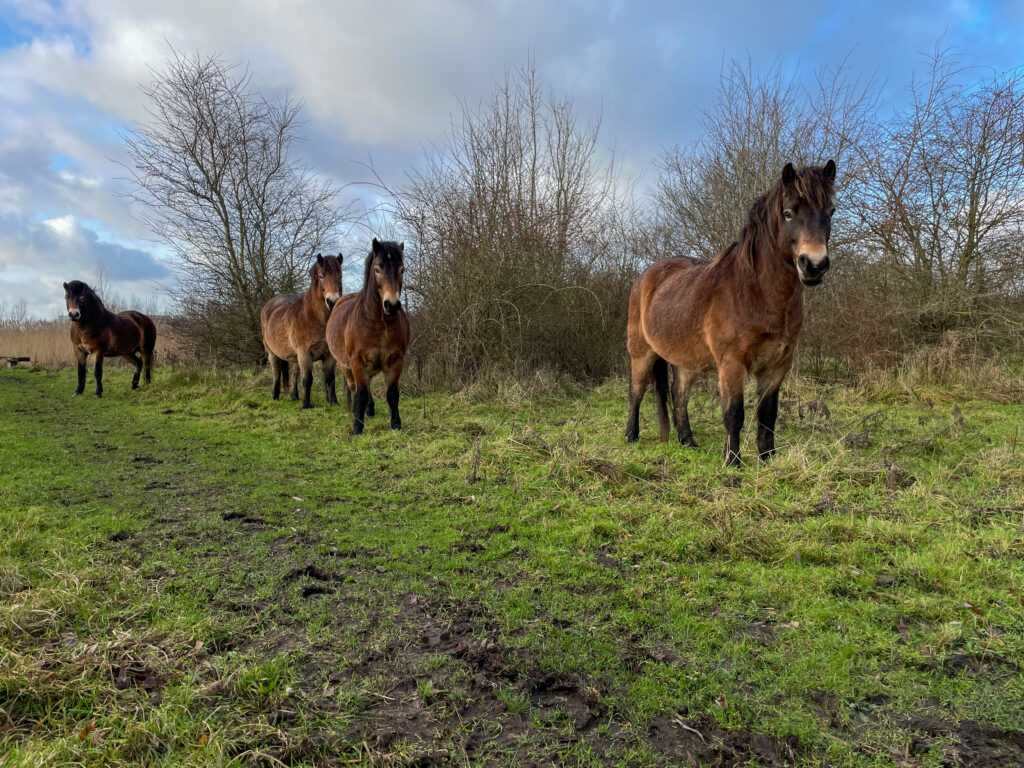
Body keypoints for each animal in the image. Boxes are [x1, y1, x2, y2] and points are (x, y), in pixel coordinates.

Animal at [260, 252, 344, 409]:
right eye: (321, 276)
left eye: (340, 276)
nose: (333, 301)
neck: (313, 317)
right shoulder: (304, 353)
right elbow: (307, 379)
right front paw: (306, 405)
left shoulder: (329, 356)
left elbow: (330, 379)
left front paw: (333, 402)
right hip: (272, 354)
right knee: (276, 373)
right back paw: (275, 396)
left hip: (294, 356)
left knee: (294, 372)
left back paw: (294, 396)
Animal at [325, 237, 409, 436]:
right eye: (377, 269)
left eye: (402, 270)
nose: (392, 305)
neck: (378, 323)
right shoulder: (356, 361)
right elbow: (360, 394)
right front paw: (357, 428)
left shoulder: (396, 361)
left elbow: (392, 394)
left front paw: (396, 424)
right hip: (345, 365)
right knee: (354, 387)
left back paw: (369, 411)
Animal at [626, 159, 835, 466]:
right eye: (788, 213)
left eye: (831, 211)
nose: (814, 265)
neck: (754, 292)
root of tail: (645, 277)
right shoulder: (731, 364)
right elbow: (734, 414)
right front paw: (732, 461)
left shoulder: (777, 367)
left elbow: (767, 415)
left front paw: (767, 458)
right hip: (642, 353)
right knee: (636, 392)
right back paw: (631, 436)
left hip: (686, 362)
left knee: (679, 397)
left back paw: (688, 442)